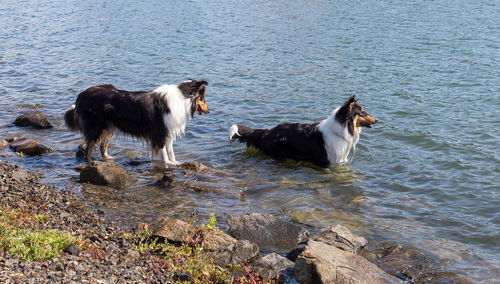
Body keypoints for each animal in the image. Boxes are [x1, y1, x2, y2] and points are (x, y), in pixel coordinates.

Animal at [65, 79, 209, 166]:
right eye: (202, 98)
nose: (208, 111)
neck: (182, 98)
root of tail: (81, 96)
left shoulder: (168, 131)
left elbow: (170, 150)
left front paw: (175, 162)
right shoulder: (159, 133)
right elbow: (164, 152)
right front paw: (167, 164)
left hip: (109, 127)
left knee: (102, 146)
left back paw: (108, 159)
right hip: (97, 128)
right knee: (89, 148)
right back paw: (90, 163)